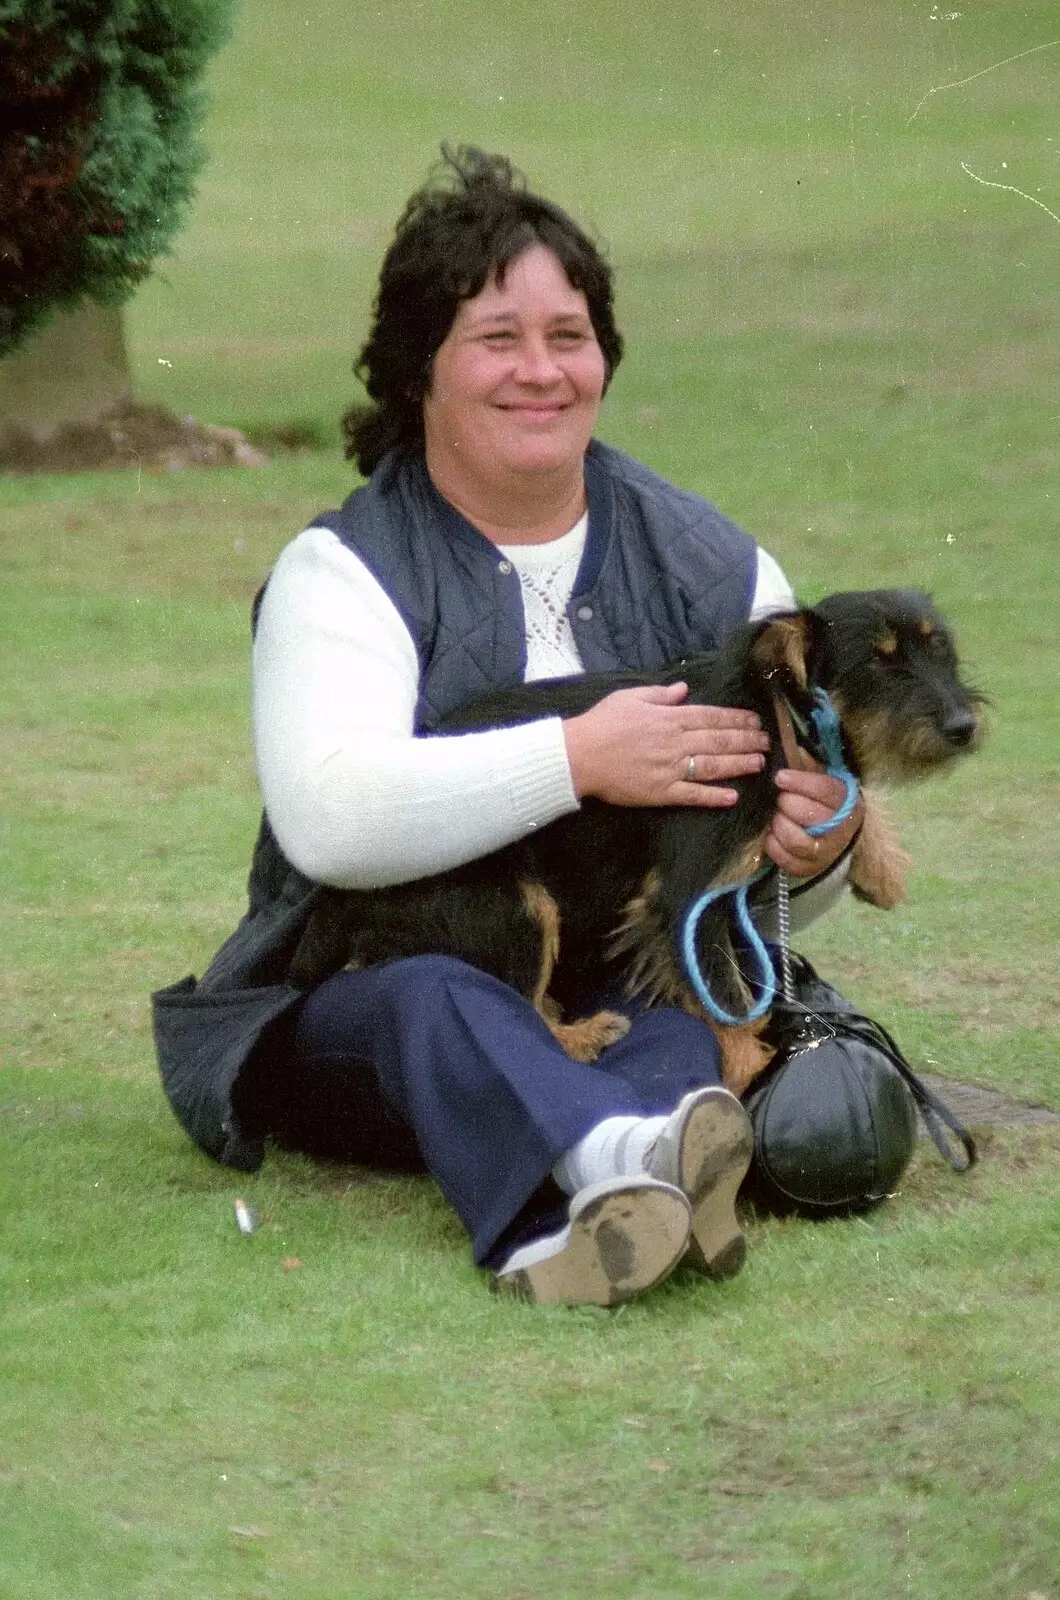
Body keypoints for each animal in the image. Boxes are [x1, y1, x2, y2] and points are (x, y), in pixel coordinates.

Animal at [291, 592, 986, 1100]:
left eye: (943, 653)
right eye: (879, 663)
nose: (964, 726)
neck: (770, 714)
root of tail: (334, 899)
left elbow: (848, 790)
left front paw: (879, 861)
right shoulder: (684, 899)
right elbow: (725, 996)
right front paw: (744, 1070)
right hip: (514, 906)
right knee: (516, 998)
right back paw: (578, 1036)